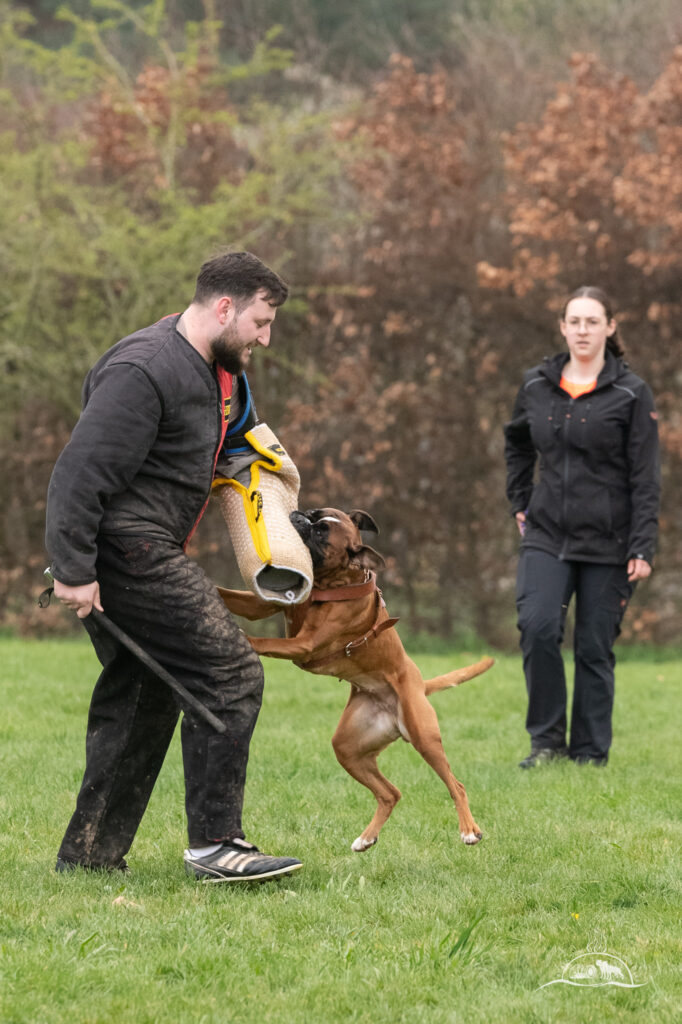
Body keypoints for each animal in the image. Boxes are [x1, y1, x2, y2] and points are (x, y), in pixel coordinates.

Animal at [220, 507, 491, 851]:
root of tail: (419, 685)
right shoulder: (260, 604)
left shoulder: (302, 644)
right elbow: (229, 596)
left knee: (456, 784)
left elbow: (265, 641)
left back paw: (469, 830)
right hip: (348, 748)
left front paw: (242, 637)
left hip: (423, 737)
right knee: (390, 793)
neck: (332, 583)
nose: (300, 516)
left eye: (321, 533)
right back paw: (366, 838)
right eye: (315, 514)